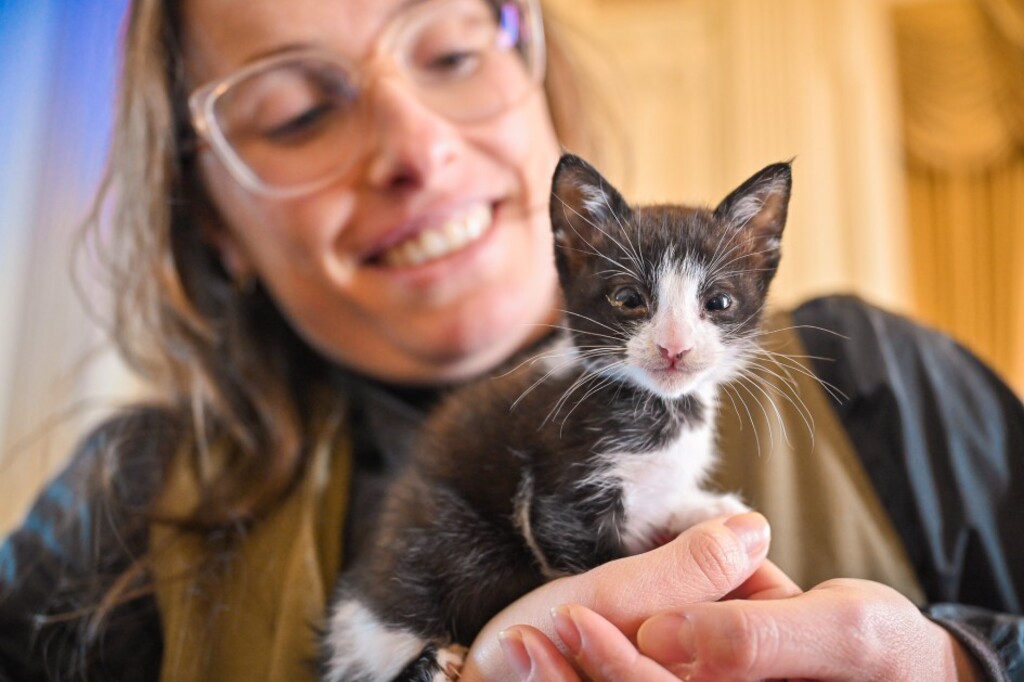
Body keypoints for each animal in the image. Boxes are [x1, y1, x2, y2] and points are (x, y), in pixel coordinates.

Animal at [319, 153, 790, 679]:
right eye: (629, 299)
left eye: (718, 302)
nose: (675, 347)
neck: (661, 406)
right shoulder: (565, 474)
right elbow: (583, 552)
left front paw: (703, 507)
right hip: (447, 543)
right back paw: (434, 661)